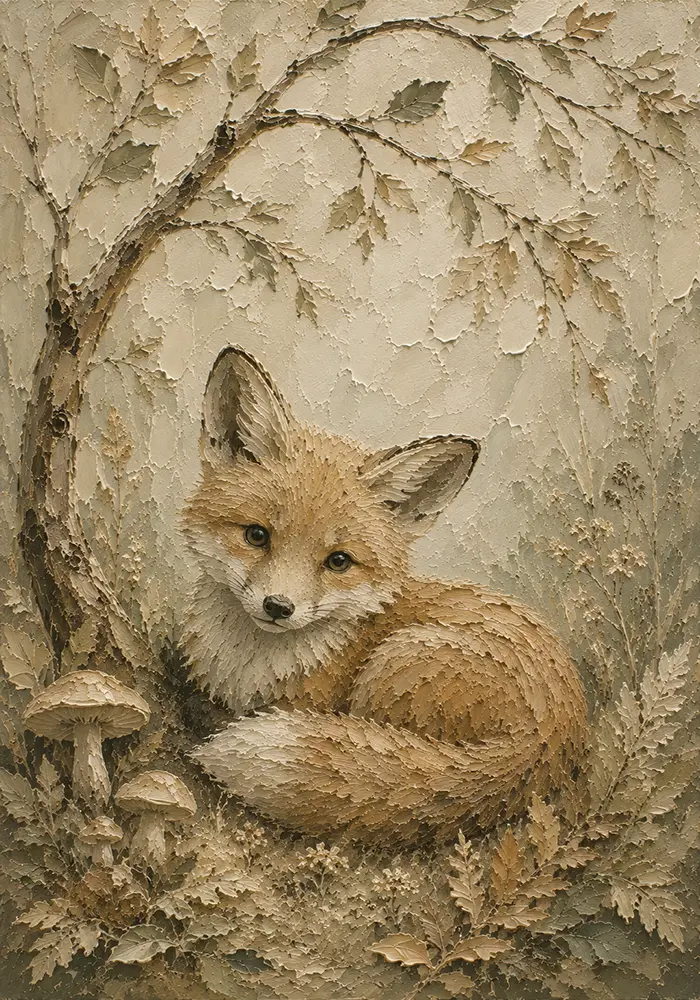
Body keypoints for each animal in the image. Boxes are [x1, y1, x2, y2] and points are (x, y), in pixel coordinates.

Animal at [183, 346, 589, 846]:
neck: (248, 664)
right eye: (256, 535)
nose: (278, 607)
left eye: (339, 561)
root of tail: (551, 736)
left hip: (398, 661)